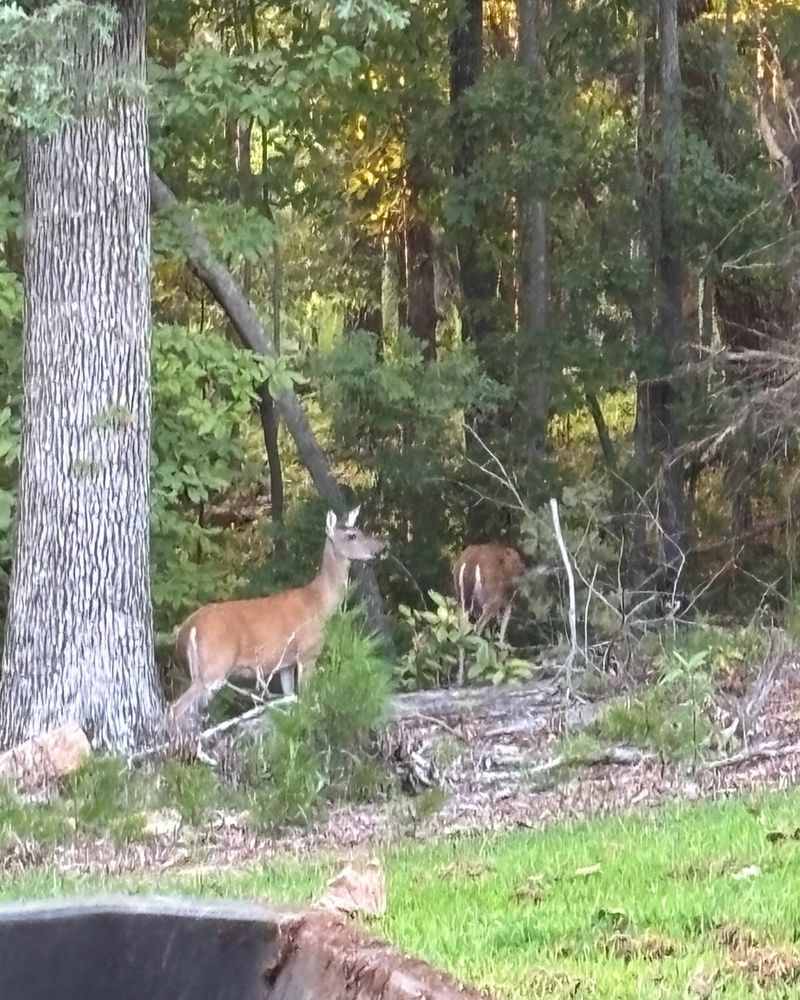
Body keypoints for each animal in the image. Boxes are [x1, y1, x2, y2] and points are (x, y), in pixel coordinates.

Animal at [169, 506, 387, 728]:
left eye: (360, 530)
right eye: (352, 535)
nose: (382, 547)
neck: (319, 604)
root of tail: (188, 626)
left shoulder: (285, 664)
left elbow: (290, 697)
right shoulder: (307, 652)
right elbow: (306, 698)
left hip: (199, 671)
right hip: (214, 666)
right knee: (176, 708)